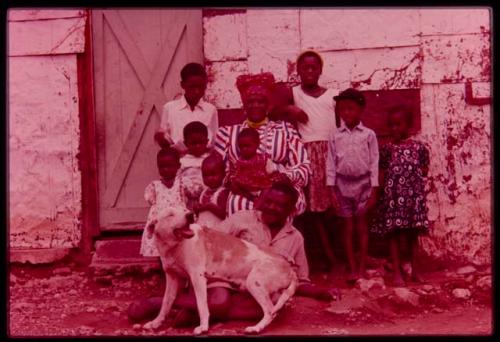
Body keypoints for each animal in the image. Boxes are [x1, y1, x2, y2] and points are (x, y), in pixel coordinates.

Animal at [141, 206, 296, 334]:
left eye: (184, 209)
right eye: (170, 215)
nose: (190, 215)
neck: (174, 247)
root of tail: (289, 267)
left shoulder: (197, 277)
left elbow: (201, 304)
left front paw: (203, 327)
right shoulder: (172, 278)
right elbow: (166, 303)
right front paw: (156, 322)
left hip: (254, 282)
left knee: (270, 311)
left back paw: (256, 328)